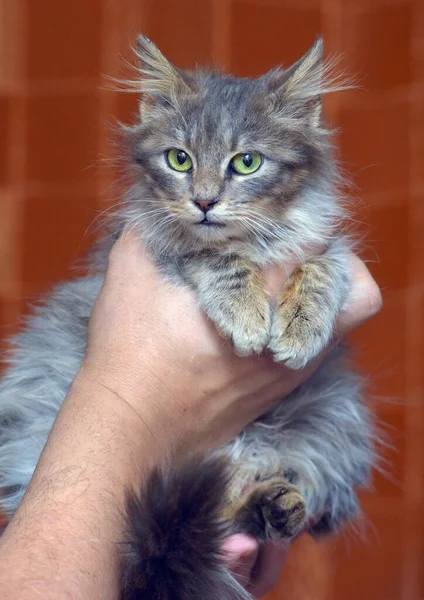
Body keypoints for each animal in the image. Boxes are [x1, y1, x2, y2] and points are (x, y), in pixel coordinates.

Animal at [0, 37, 378, 600]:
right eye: (179, 159)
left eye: (246, 162)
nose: (203, 201)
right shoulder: (152, 245)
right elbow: (212, 257)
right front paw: (247, 317)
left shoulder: (328, 246)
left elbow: (321, 269)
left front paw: (300, 329)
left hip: (333, 423)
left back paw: (277, 505)